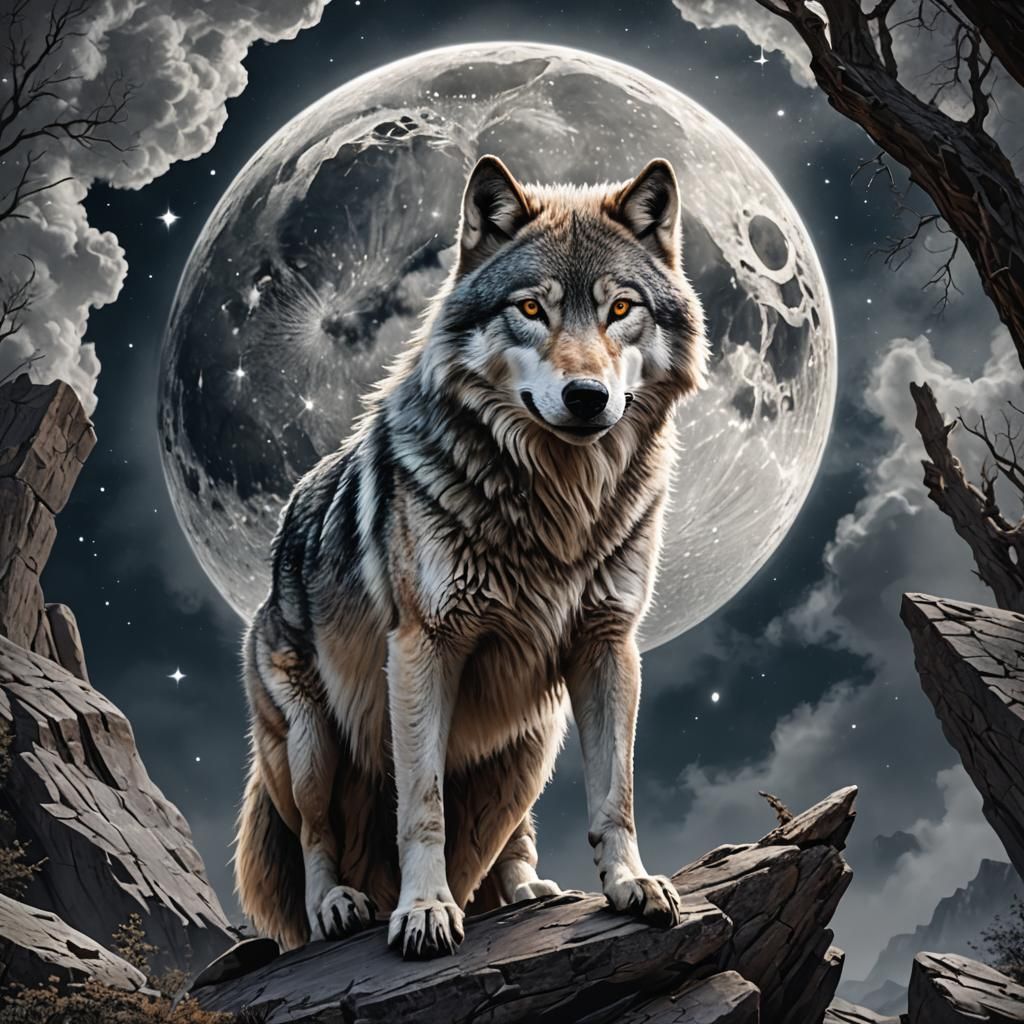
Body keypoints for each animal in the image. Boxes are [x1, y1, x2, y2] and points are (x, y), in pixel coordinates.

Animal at [234, 154, 708, 959]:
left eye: (620, 309)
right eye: (531, 309)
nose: (588, 396)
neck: (556, 507)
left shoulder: (607, 645)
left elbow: (615, 796)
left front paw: (630, 883)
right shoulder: (425, 648)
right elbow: (422, 808)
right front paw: (424, 910)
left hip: (530, 741)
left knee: (506, 834)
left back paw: (524, 888)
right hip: (309, 746)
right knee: (319, 837)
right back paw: (338, 906)